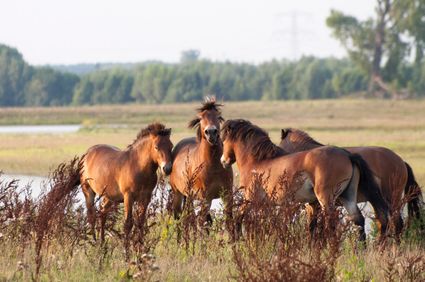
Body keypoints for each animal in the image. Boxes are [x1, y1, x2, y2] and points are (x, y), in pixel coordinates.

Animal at [169, 98, 234, 235]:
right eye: (200, 118)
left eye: (218, 116)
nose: (211, 132)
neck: (214, 166)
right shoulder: (205, 198)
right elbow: (202, 223)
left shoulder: (227, 194)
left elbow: (228, 221)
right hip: (178, 194)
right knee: (180, 218)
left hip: (189, 197)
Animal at [220, 119, 390, 240]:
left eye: (224, 140)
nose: (223, 161)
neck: (258, 162)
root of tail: (347, 154)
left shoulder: (250, 199)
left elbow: (238, 218)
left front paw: (236, 239)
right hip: (347, 196)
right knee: (358, 220)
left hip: (326, 198)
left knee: (333, 221)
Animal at [280, 128, 422, 231]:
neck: (307, 157)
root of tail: (401, 161)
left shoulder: (315, 204)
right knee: (384, 221)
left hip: (393, 199)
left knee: (397, 224)